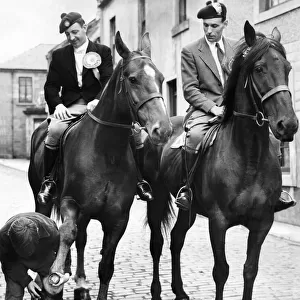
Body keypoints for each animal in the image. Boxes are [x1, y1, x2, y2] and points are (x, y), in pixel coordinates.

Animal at [28, 31, 173, 298]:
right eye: (133, 79)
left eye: (160, 78)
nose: (164, 129)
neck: (107, 152)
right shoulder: (70, 202)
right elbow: (67, 233)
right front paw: (54, 276)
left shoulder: (117, 219)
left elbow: (106, 266)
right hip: (42, 199)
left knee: (84, 239)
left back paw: (79, 280)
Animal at [144, 21, 298, 300]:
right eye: (259, 69)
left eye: (288, 68)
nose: (288, 124)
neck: (248, 156)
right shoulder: (218, 222)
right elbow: (221, 271)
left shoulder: (262, 222)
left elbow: (250, 270)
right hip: (157, 197)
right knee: (157, 243)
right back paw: (156, 291)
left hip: (189, 208)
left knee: (176, 239)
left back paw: (180, 291)